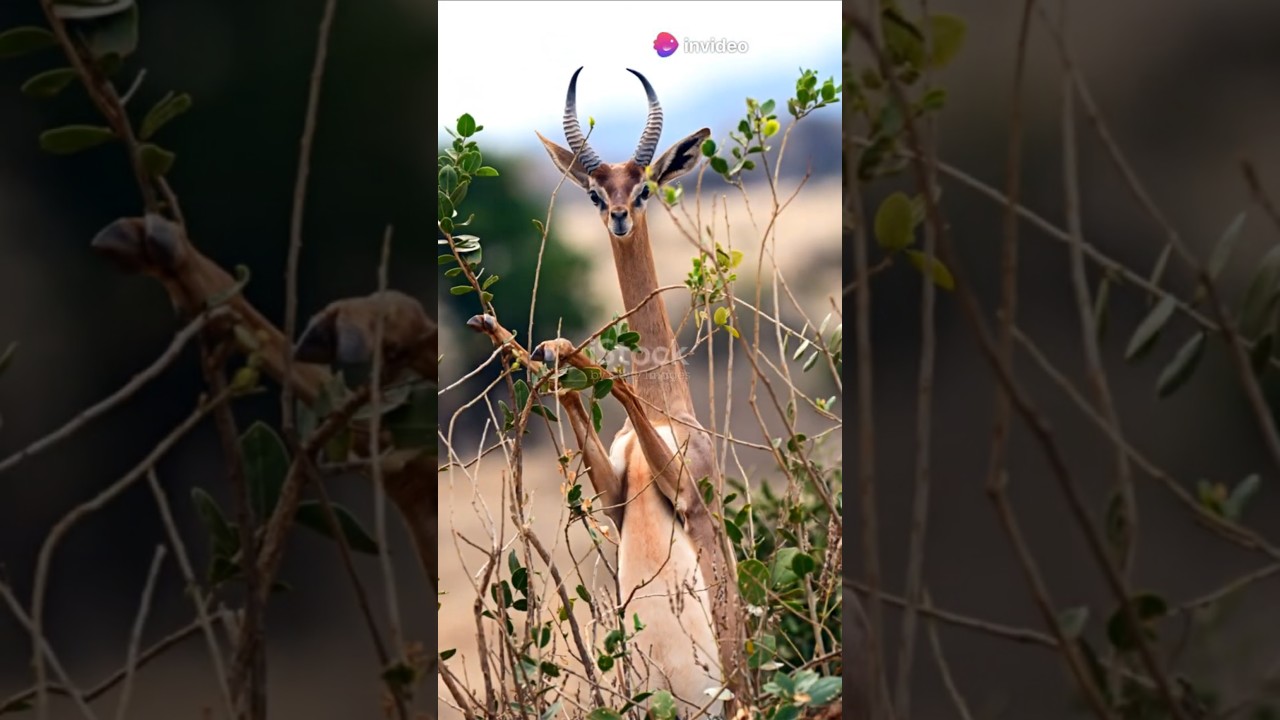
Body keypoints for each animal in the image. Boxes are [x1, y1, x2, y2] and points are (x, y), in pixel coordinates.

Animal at [527, 66, 744, 716]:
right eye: (596, 194)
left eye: (644, 187)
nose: (620, 216)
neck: (672, 410)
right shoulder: (616, 498)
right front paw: (549, 350)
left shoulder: (686, 487)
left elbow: (620, 384)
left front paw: (568, 353)